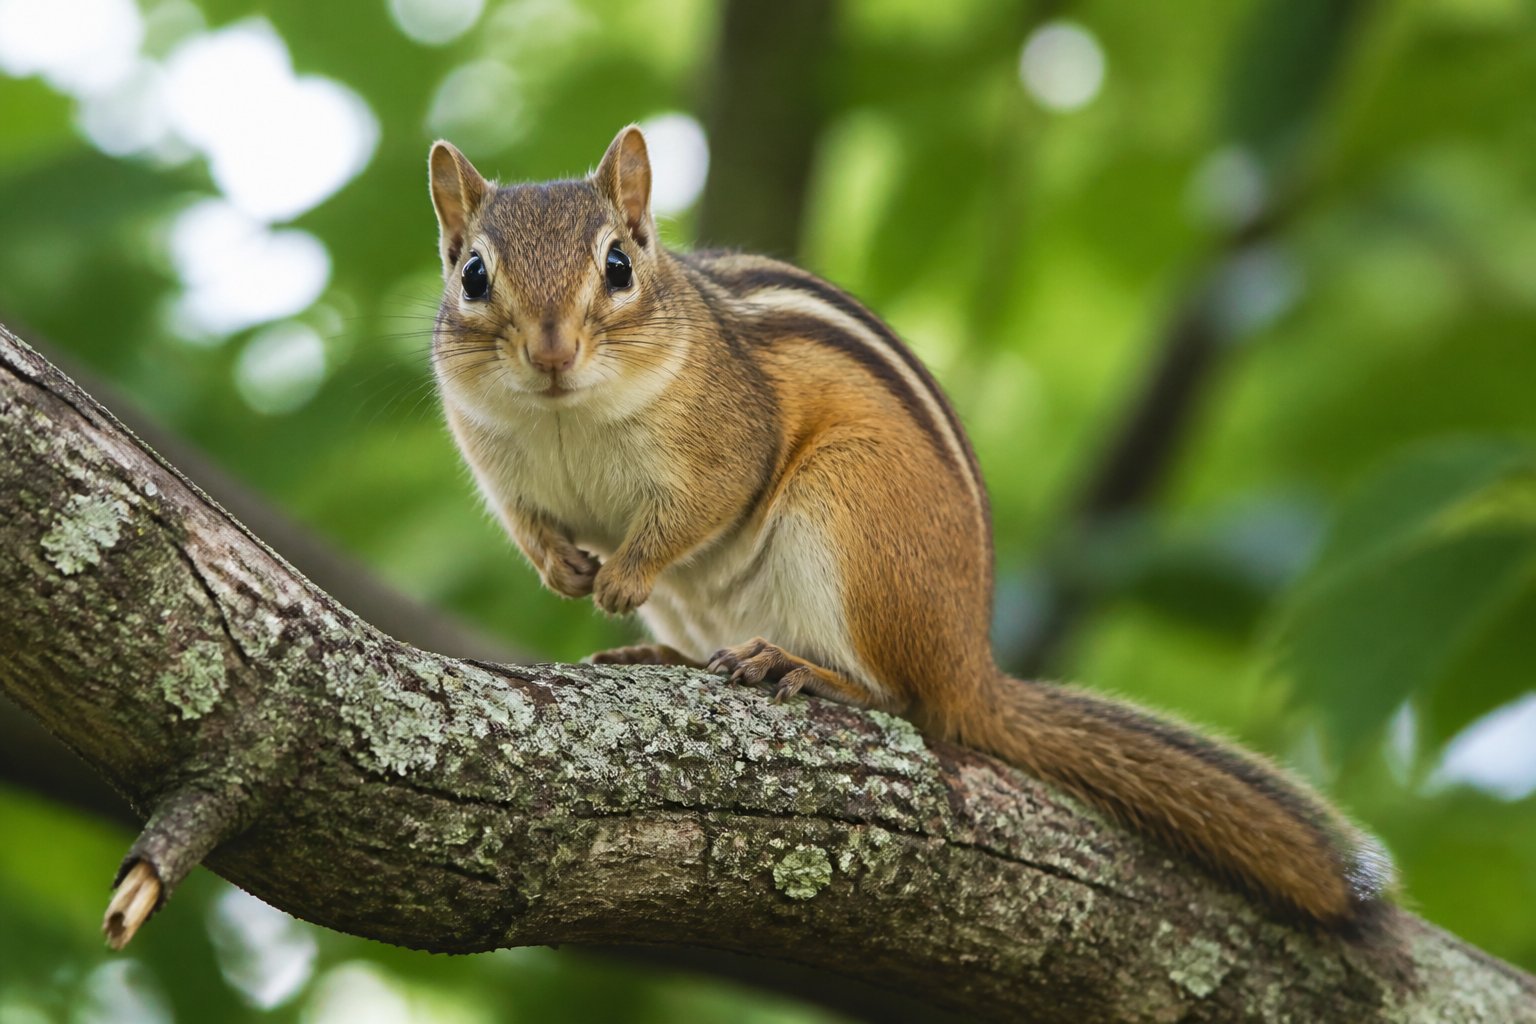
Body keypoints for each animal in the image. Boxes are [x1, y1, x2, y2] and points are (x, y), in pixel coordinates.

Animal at [425, 125, 1393, 927]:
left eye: (620, 266)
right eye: (473, 275)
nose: (552, 351)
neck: (567, 416)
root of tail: (972, 664)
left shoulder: (725, 443)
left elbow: (695, 510)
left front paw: (625, 573)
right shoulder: (495, 464)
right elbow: (527, 524)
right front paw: (563, 569)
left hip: (850, 516)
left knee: (903, 700)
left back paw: (800, 667)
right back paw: (667, 655)